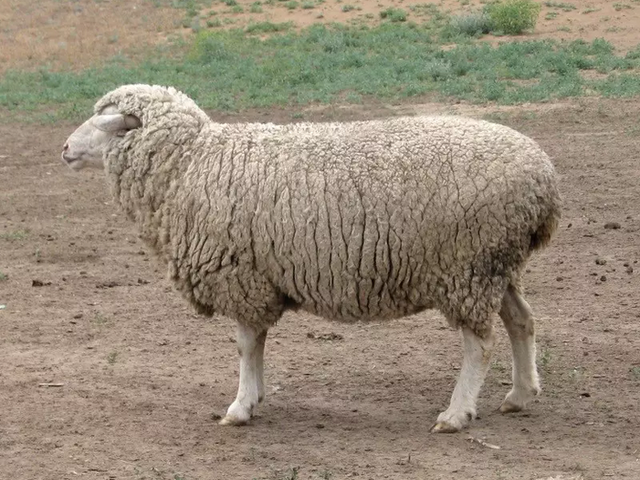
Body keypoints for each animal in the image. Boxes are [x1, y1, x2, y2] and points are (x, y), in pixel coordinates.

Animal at [61, 84, 561, 433]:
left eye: (102, 123)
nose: (64, 148)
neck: (190, 162)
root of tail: (544, 179)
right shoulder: (257, 276)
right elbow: (256, 344)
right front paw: (255, 396)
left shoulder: (241, 275)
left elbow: (245, 345)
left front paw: (240, 406)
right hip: (496, 265)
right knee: (522, 321)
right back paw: (520, 395)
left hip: (467, 266)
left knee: (480, 344)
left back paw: (456, 414)